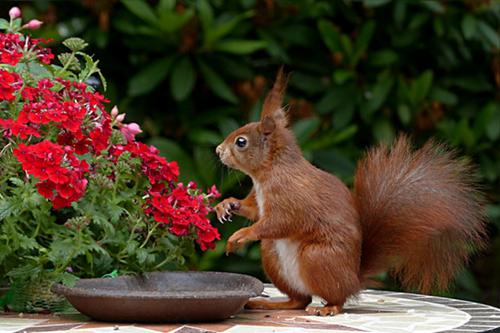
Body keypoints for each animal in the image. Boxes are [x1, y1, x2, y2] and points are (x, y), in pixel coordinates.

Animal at [213, 68, 486, 316]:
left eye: (241, 142)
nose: (217, 150)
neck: (268, 173)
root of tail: (354, 279)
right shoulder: (260, 199)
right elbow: (254, 211)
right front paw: (227, 205)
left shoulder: (291, 196)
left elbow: (279, 222)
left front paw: (241, 235)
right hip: (272, 255)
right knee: (300, 300)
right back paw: (271, 303)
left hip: (317, 257)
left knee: (335, 298)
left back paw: (328, 308)